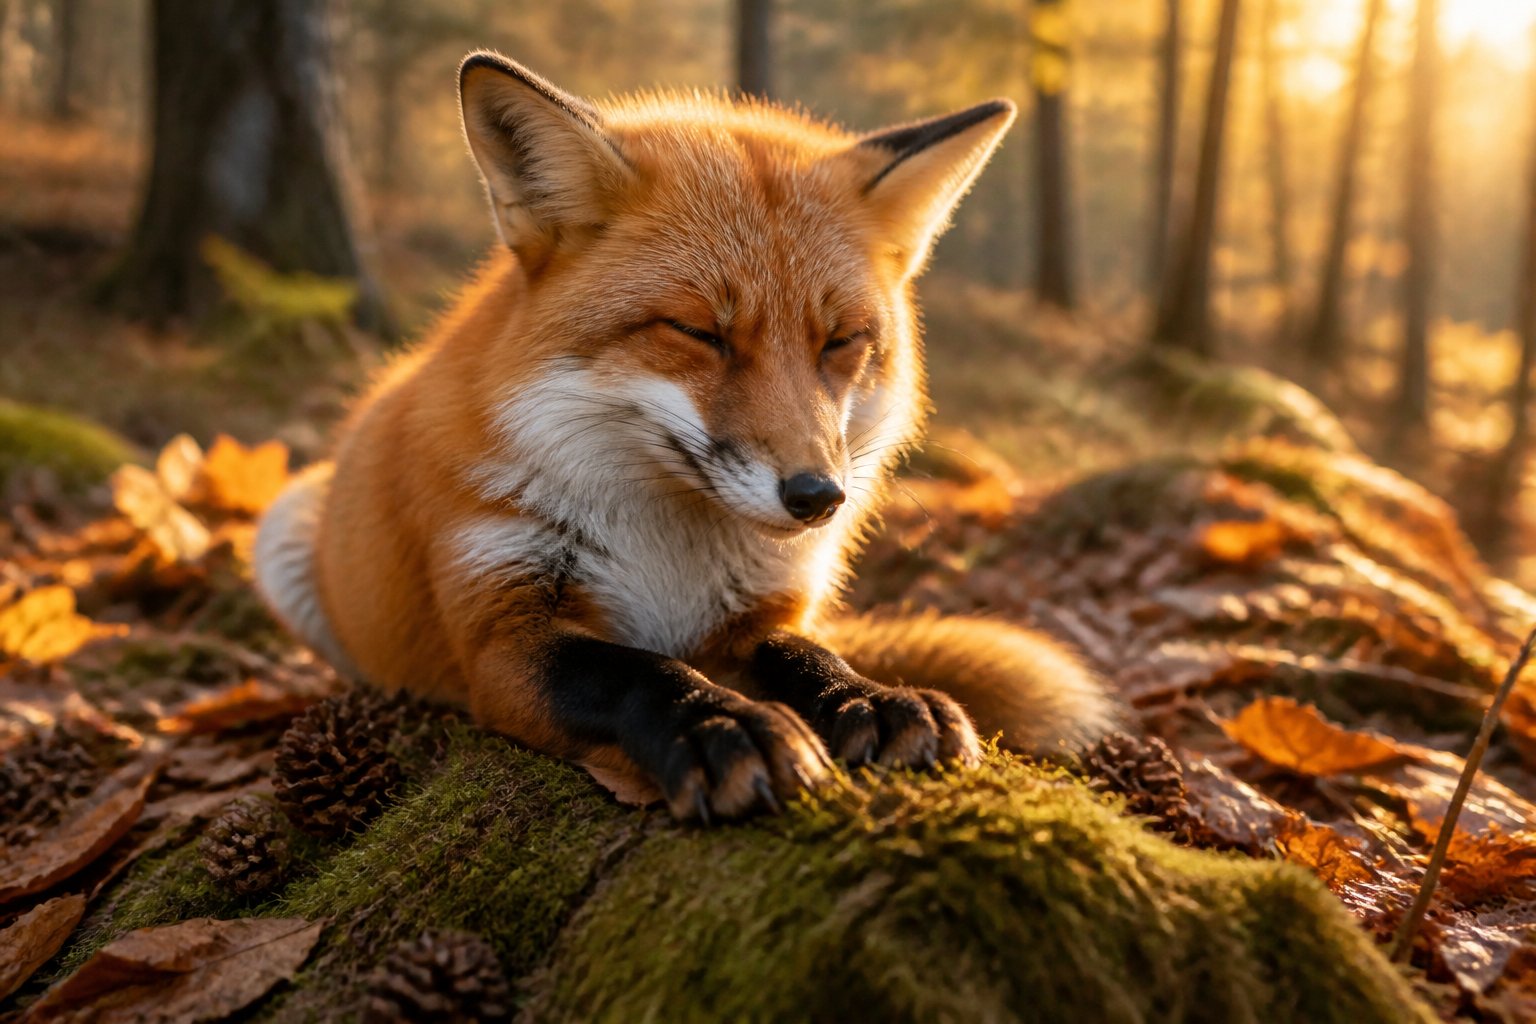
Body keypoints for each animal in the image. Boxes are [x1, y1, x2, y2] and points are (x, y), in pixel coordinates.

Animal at [253, 52, 1120, 821]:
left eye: (841, 342)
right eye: (701, 333)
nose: (818, 498)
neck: (667, 548)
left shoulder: (754, 619)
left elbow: (810, 653)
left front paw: (866, 697)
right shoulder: (502, 631)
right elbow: (638, 672)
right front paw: (723, 725)